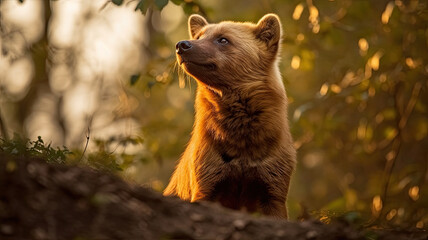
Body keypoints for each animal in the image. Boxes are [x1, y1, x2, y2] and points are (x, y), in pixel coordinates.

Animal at [162, 13, 296, 219]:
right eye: (199, 36)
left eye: (223, 39)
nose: (181, 45)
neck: (242, 146)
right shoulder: (207, 181)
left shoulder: (273, 188)